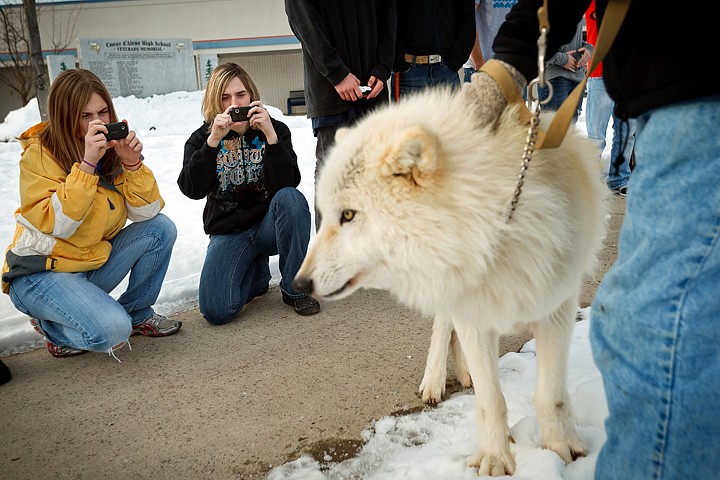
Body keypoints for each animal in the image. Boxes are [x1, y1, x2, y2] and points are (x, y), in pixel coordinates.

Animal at [292, 80, 608, 474]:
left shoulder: (557, 308)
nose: (299, 284)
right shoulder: (471, 308)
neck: (495, 228)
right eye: (324, 216)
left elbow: (551, 396)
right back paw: (435, 381)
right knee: (442, 330)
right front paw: (494, 458)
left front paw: (563, 449)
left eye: (348, 215)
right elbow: (491, 400)